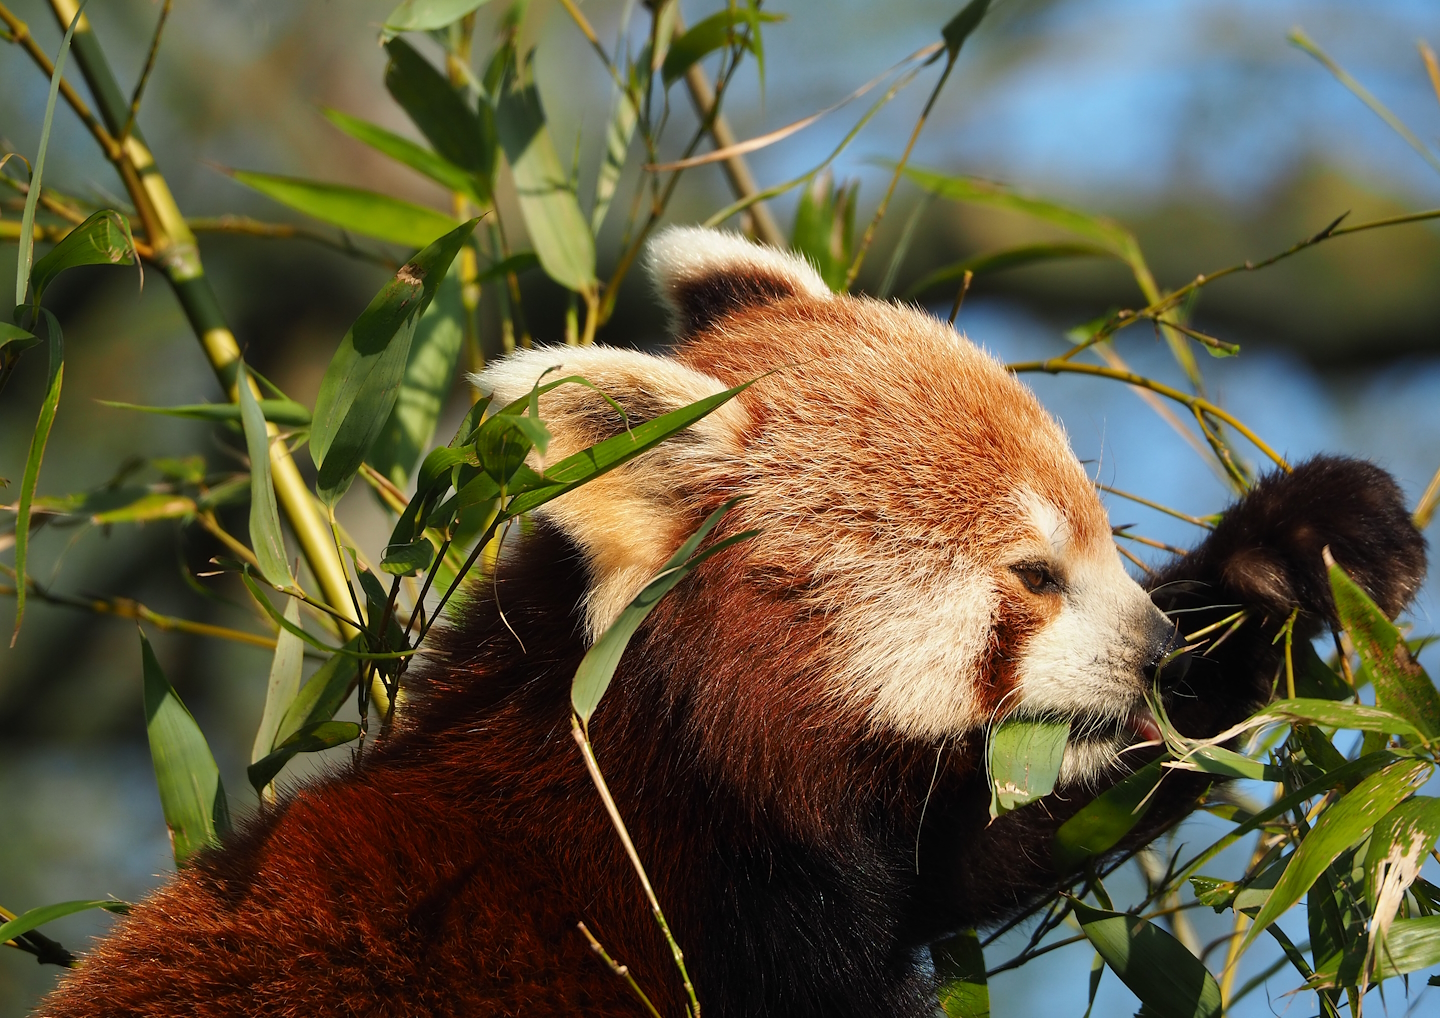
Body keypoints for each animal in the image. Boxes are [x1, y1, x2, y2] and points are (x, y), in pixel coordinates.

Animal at [40, 227, 1426, 1018]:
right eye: (1035, 574)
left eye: (1095, 540)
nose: (1149, 647)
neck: (660, 761)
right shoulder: (720, 917)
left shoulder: (849, 853)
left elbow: (1001, 829)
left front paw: (1295, 551)